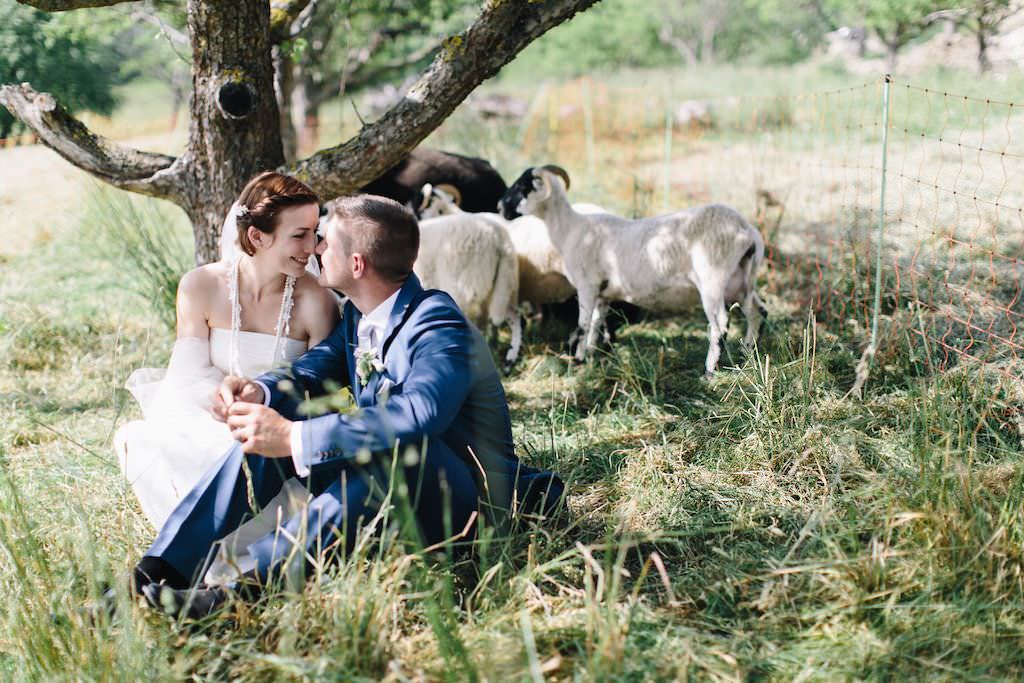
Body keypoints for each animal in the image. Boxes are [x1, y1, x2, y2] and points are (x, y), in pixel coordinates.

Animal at [495, 166, 770, 378]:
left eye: (522, 187)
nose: (499, 207)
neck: (571, 229)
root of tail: (747, 231)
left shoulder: (587, 286)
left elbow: (582, 324)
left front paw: (579, 359)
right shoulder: (603, 293)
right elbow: (595, 323)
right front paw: (592, 354)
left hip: (713, 280)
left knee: (720, 324)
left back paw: (710, 370)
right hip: (741, 282)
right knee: (758, 311)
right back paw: (748, 353)